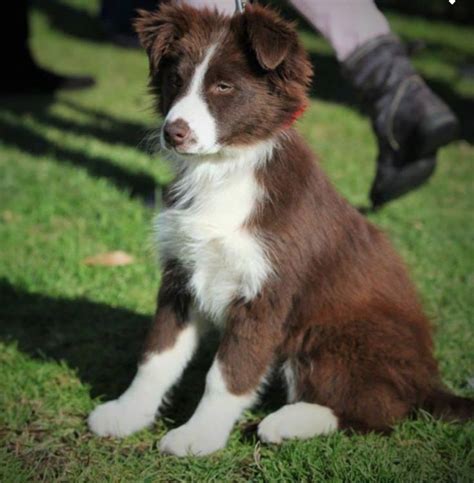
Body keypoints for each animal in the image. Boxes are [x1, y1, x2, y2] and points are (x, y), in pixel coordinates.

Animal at [87, 3, 472, 458]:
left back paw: (287, 423)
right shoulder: (181, 274)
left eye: (223, 86)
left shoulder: (267, 292)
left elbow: (227, 375)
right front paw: (127, 414)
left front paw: (199, 436)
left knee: (379, 409)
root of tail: (428, 382)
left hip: (339, 333)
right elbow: (156, 356)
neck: (225, 170)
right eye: (175, 80)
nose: (173, 132)